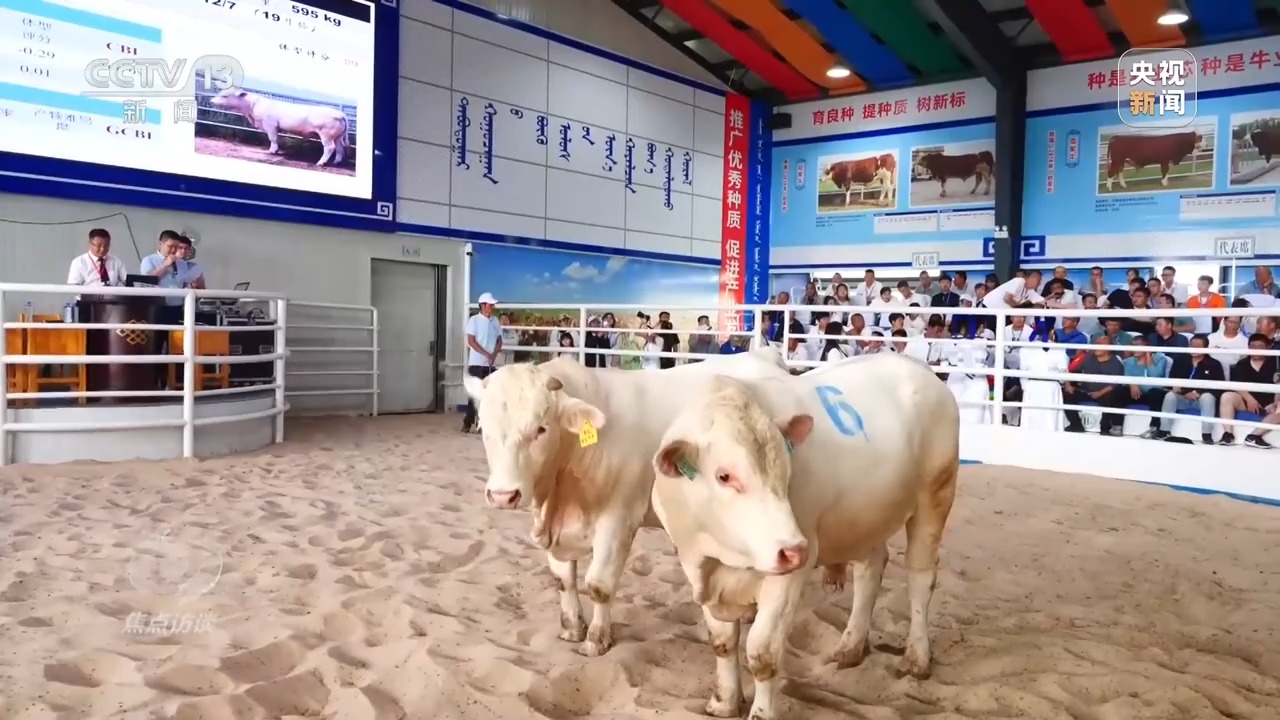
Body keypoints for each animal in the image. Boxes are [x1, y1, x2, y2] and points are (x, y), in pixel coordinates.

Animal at [209, 88, 350, 167]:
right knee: (339, 148)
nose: (211, 101)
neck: (251, 109)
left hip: (326, 134)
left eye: (225, 95)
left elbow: (273, 138)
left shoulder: (270, 125)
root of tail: (341, 114)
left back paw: (320, 163)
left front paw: (272, 151)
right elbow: (276, 138)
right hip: (337, 136)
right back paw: (336, 162)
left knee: (330, 148)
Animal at [462, 348, 791, 656]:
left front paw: (596, 640)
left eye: (540, 429)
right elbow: (563, 579)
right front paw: (572, 629)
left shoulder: (619, 520)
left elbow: (599, 585)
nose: (503, 495)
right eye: (483, 428)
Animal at [647, 353, 960, 720]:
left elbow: (762, 652)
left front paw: (761, 712)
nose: (793, 550)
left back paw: (916, 657)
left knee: (920, 578)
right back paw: (851, 645)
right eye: (724, 475)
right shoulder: (696, 562)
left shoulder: (788, 575)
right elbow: (722, 642)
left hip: (935, 497)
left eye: (787, 467)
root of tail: (918, 367)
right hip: (866, 518)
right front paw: (724, 702)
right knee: (871, 570)